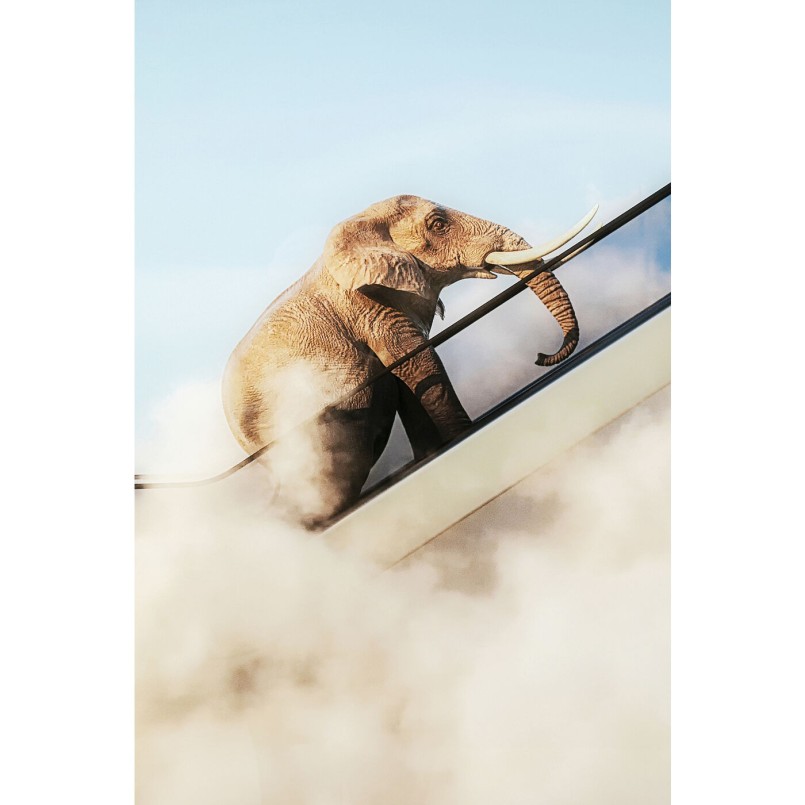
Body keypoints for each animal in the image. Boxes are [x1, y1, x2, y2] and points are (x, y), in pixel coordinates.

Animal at [222, 195, 597, 527]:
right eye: (438, 224)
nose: (540, 357)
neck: (361, 225)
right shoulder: (371, 308)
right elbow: (421, 365)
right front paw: (462, 437)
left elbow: (410, 379)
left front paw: (433, 454)